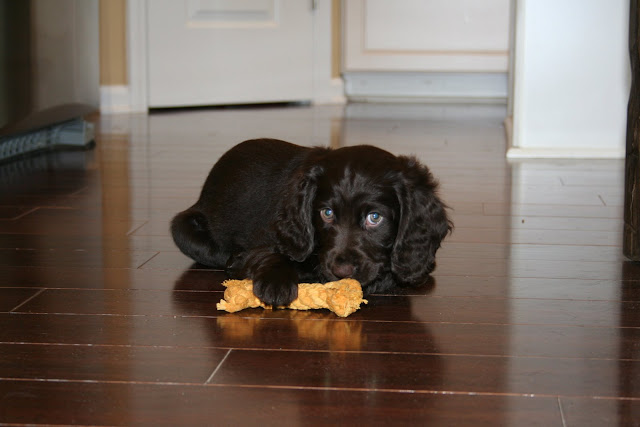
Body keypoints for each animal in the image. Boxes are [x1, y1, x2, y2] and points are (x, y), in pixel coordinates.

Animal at [170, 140, 450, 308]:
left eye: (374, 218)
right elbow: (270, 254)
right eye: (327, 213)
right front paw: (277, 281)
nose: (341, 271)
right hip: (184, 229)